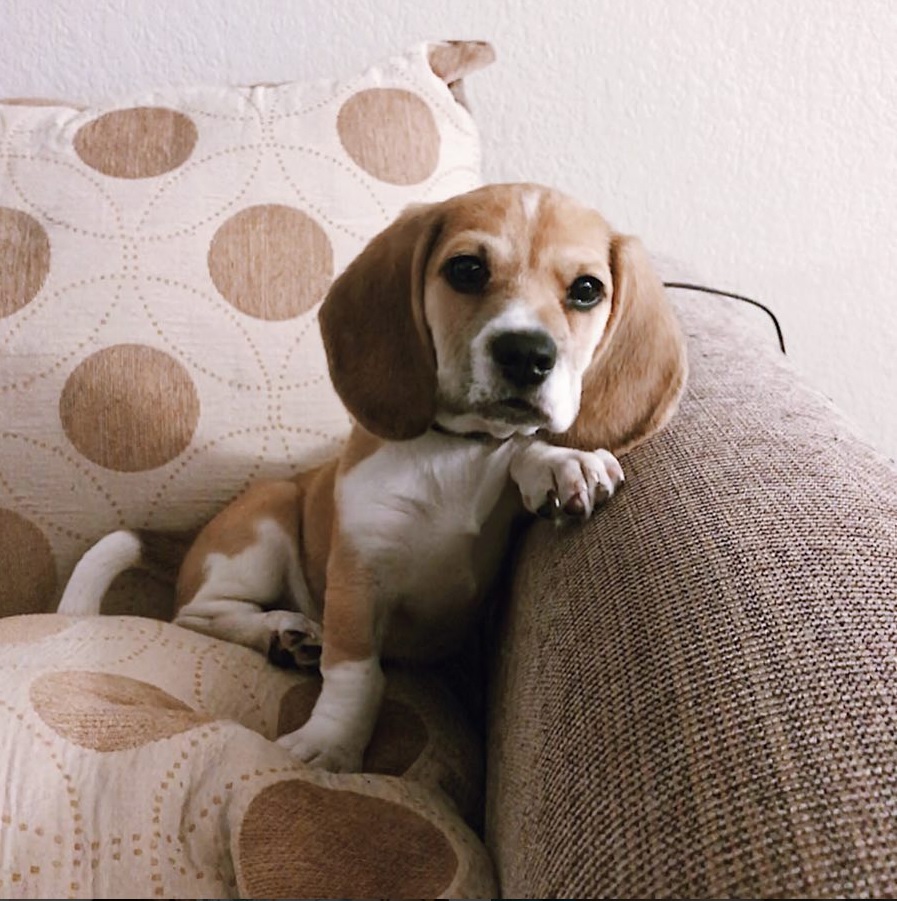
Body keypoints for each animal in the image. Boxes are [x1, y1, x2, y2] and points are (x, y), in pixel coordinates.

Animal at [57, 185, 688, 772]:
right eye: (467, 269)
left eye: (587, 289)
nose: (526, 354)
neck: (453, 454)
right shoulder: (360, 573)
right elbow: (356, 673)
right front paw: (328, 745)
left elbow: (520, 447)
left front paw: (561, 461)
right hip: (263, 527)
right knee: (196, 613)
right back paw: (279, 631)